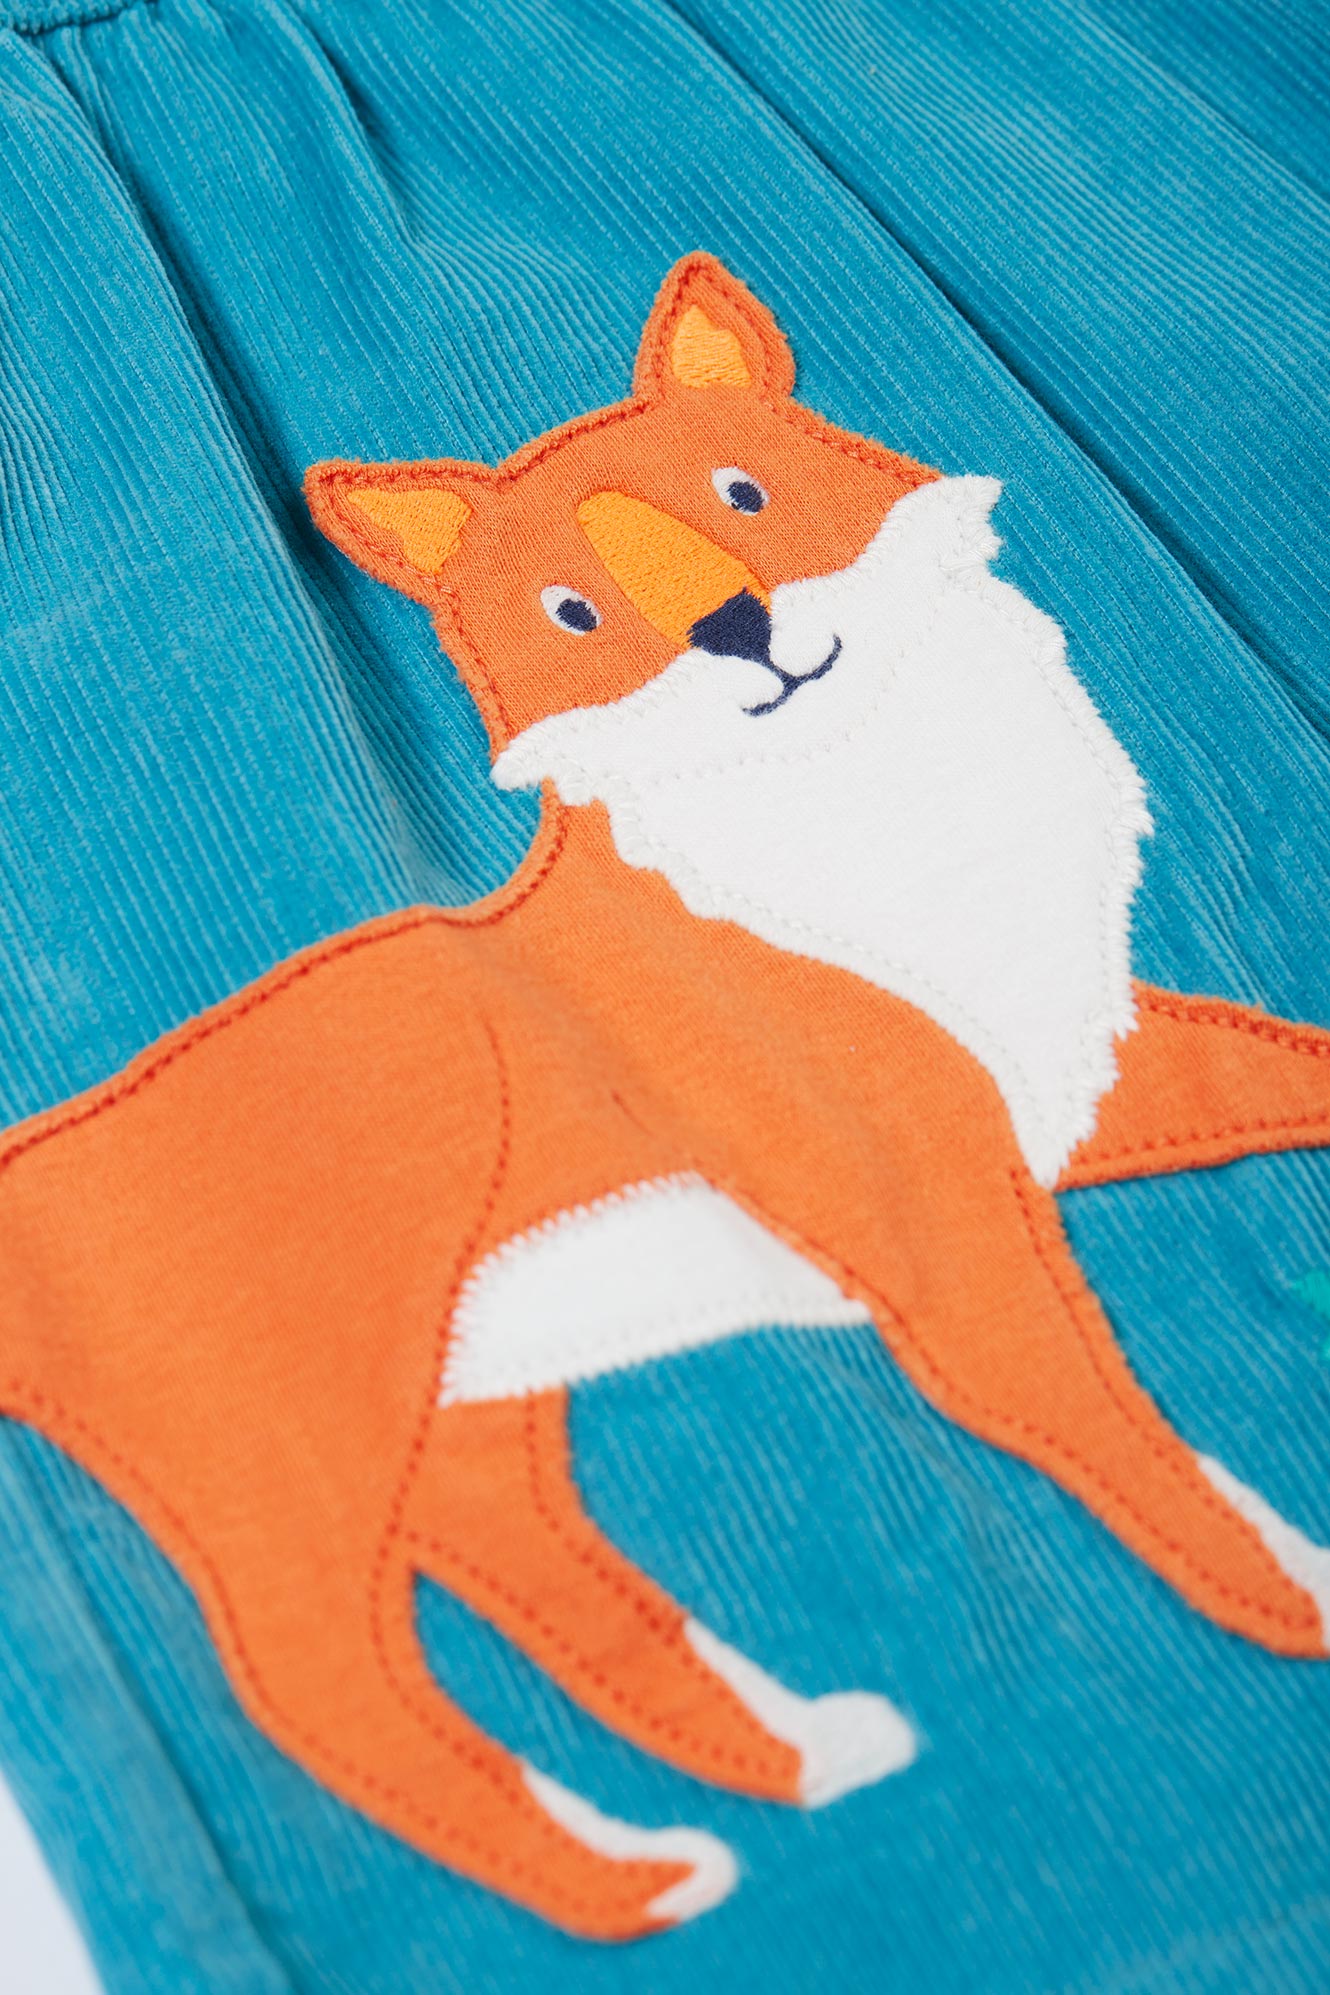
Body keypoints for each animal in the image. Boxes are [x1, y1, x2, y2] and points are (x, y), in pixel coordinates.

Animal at [4, 252, 1330, 1942]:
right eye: (571, 609)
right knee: (322, 1691)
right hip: (291, 1468)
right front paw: (1289, 1596)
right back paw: (624, 1883)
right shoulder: (927, 1217)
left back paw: (776, 1772)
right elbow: (1118, 1434)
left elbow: (1282, 1068)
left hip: (467, 1410)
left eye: (742, 491)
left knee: (549, 1593)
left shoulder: (1087, 1078)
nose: (730, 626)